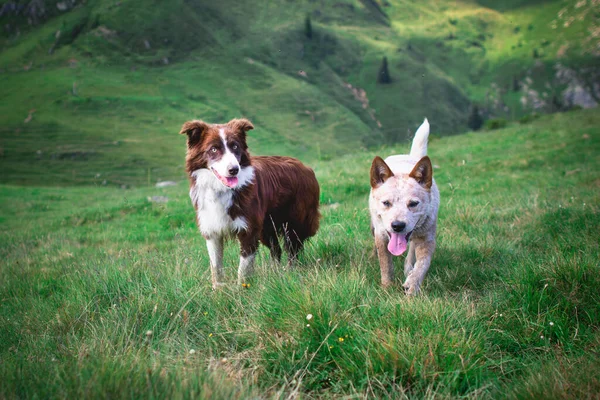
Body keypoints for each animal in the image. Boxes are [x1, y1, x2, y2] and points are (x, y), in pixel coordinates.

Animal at [179, 117, 322, 290]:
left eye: (235, 146)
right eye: (213, 149)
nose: (234, 169)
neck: (221, 190)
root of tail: (306, 167)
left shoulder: (249, 229)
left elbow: (244, 267)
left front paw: (243, 289)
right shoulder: (212, 230)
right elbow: (216, 266)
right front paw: (218, 290)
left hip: (294, 220)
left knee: (293, 248)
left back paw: (290, 272)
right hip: (266, 227)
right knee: (277, 249)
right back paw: (275, 273)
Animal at [368, 119, 438, 294]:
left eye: (413, 203)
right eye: (386, 203)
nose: (397, 225)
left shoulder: (427, 237)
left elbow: (423, 264)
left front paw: (412, 285)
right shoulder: (381, 234)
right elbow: (386, 264)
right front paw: (387, 287)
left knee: (411, 251)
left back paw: (408, 270)